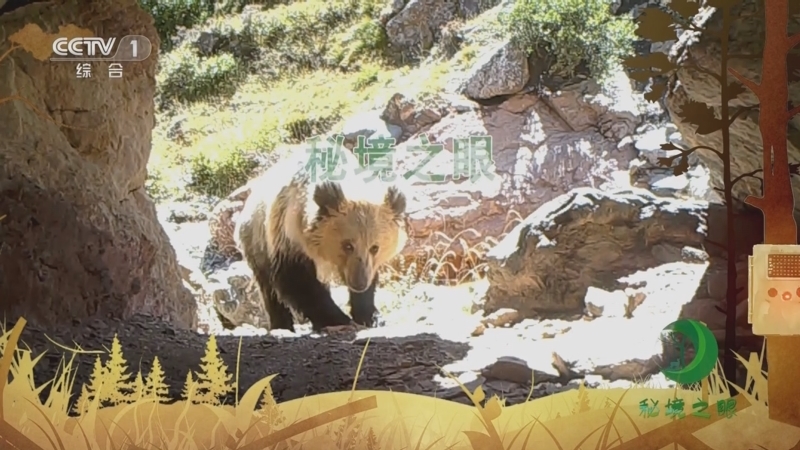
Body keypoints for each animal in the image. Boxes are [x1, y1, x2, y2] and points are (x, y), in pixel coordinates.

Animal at [234, 147, 409, 332]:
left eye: (375, 247)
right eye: (347, 245)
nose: (359, 283)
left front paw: (370, 316)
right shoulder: (288, 234)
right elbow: (296, 281)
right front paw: (337, 318)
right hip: (256, 240)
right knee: (269, 289)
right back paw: (282, 325)